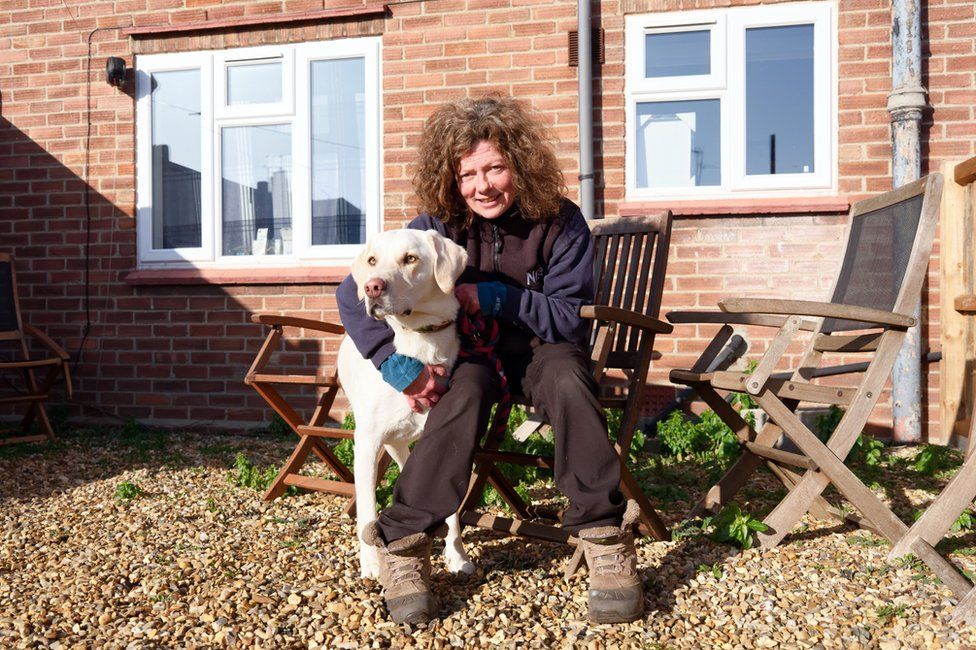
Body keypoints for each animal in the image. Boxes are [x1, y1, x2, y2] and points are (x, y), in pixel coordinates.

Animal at [338, 228, 474, 576]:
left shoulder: (443, 439)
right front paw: (372, 565)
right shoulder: (366, 444)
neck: (420, 341)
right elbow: (367, 511)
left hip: (401, 444)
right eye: (372, 261)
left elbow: (451, 510)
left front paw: (457, 555)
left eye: (410, 258)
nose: (371, 286)